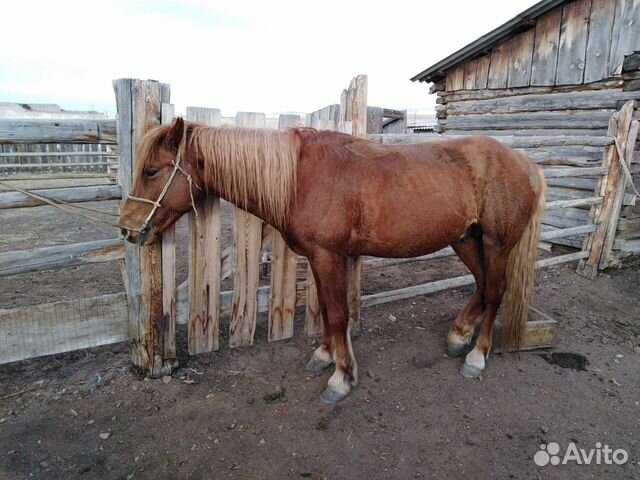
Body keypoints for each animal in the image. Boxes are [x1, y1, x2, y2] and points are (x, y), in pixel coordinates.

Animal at [119, 117, 544, 404]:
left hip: (496, 244)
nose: (126, 229)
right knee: (481, 285)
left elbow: (338, 314)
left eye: (152, 171)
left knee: (495, 290)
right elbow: (325, 308)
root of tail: (524, 163)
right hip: (466, 240)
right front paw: (325, 355)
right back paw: (458, 335)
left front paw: (341, 377)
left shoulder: (329, 256)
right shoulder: (318, 257)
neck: (299, 177)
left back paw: (476, 356)